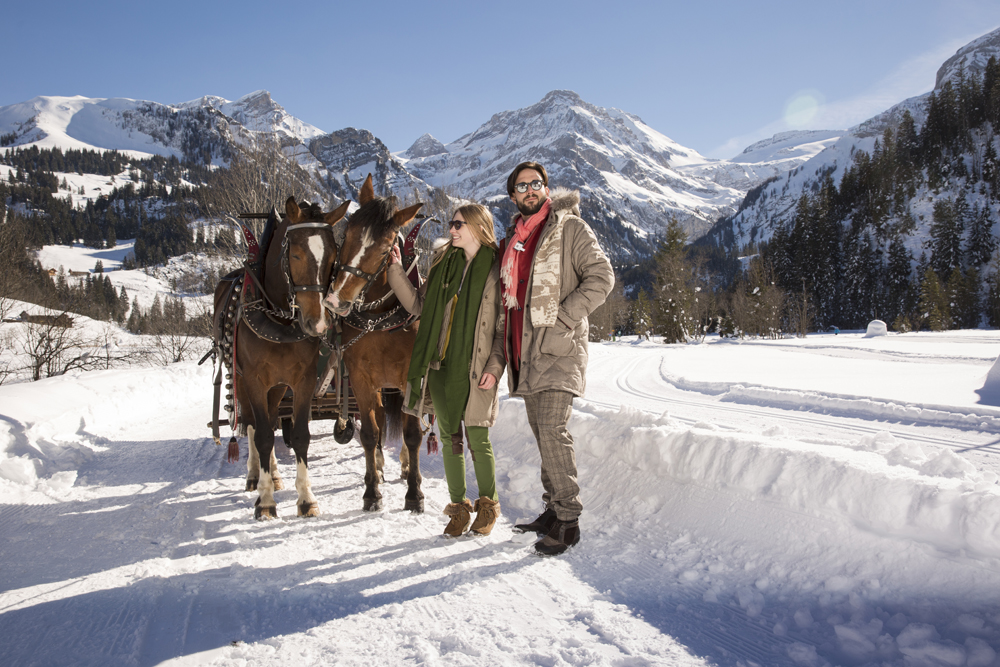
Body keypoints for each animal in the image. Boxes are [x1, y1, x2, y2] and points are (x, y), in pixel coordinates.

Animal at [221, 196, 350, 520]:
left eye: (334, 255)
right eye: (296, 254)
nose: (318, 323)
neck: (277, 320)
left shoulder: (303, 379)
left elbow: (300, 434)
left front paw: (306, 498)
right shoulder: (254, 380)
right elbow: (263, 436)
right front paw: (266, 501)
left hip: (277, 387)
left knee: (268, 417)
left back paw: (275, 475)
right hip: (242, 380)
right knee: (253, 424)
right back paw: (256, 476)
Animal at [326, 175, 424, 516]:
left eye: (385, 250)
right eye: (347, 233)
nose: (336, 301)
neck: (380, 317)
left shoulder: (412, 378)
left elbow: (412, 434)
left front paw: (414, 494)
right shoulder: (360, 379)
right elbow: (370, 433)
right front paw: (371, 492)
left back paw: (406, 468)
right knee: (380, 419)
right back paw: (380, 467)